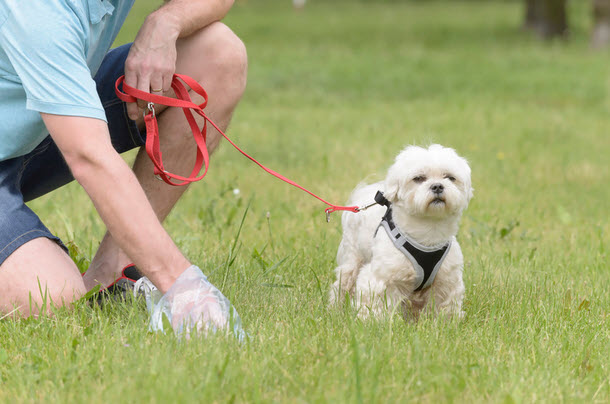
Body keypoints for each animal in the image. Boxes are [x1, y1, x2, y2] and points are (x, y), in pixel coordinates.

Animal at [330, 145, 472, 322]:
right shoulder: (381, 276)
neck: (428, 231)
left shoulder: (447, 280)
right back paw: (336, 310)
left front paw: (445, 323)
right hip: (353, 259)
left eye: (450, 177)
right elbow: (376, 302)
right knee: (342, 284)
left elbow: (445, 306)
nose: (438, 186)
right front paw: (375, 322)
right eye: (418, 178)